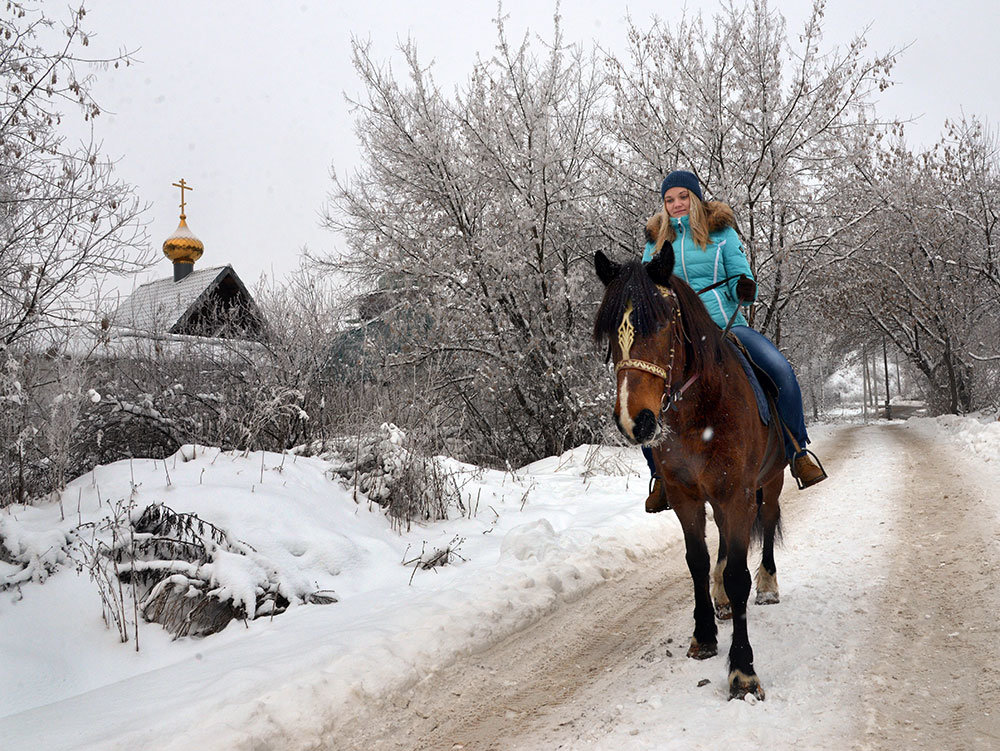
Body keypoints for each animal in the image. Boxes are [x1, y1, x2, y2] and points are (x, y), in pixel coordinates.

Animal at [588, 247, 784, 700]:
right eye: (610, 335)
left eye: (662, 324)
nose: (634, 421)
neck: (700, 412)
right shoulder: (685, 496)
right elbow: (697, 561)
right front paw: (705, 636)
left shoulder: (738, 494)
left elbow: (737, 574)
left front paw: (743, 671)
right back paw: (721, 601)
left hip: (771, 481)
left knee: (767, 523)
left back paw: (768, 586)